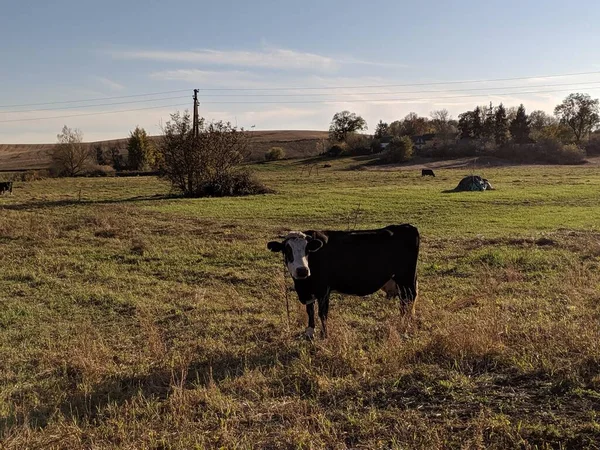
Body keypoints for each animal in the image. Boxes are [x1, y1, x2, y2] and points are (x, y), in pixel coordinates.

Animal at [268, 223, 418, 340]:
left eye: (307, 250)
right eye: (287, 250)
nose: (302, 270)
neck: (304, 285)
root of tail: (407, 226)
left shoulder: (324, 290)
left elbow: (322, 313)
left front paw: (325, 335)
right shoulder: (309, 291)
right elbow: (309, 311)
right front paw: (310, 332)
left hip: (406, 280)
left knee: (408, 301)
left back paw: (404, 326)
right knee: (404, 303)